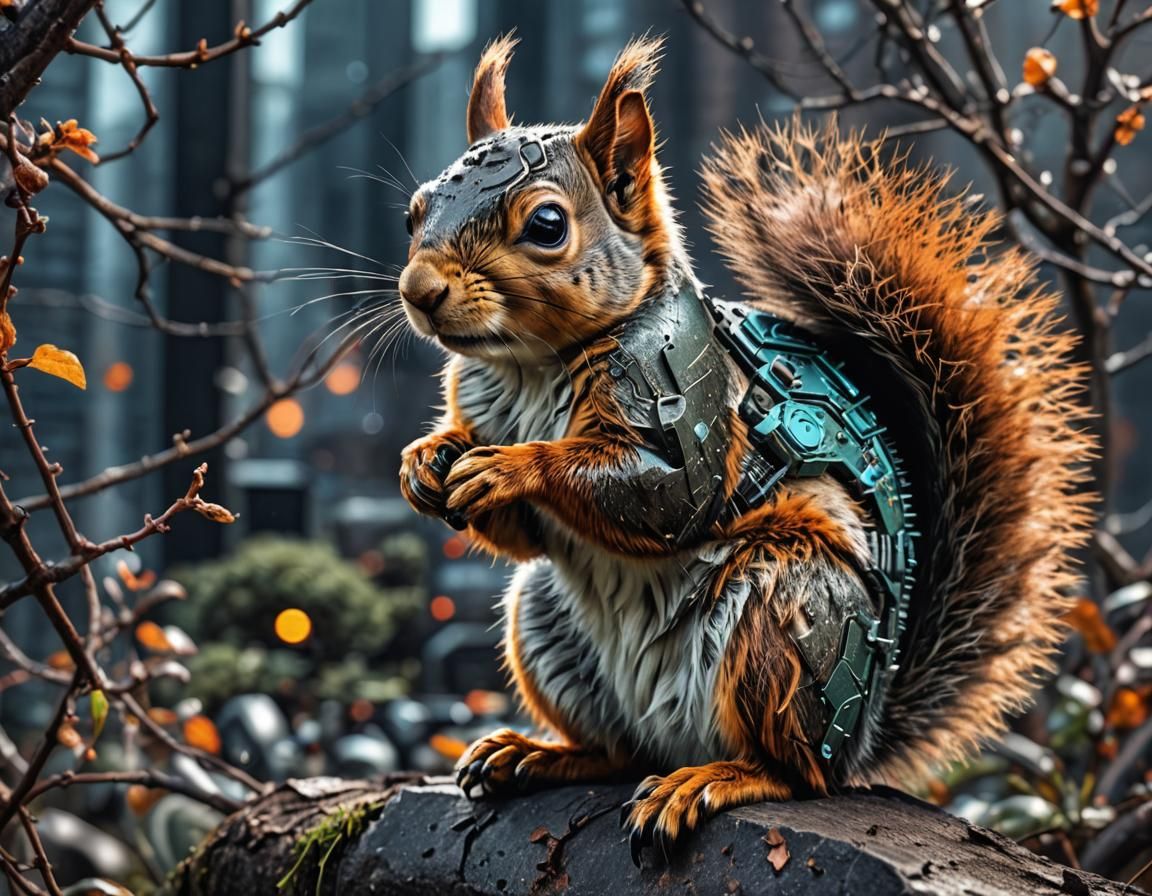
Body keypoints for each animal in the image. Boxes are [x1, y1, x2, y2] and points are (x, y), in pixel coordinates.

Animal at [396, 34, 1094, 861]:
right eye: (413, 213)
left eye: (545, 226)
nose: (418, 291)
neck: (531, 364)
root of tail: (858, 745)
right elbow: (525, 529)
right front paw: (425, 460)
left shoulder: (682, 390)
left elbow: (667, 494)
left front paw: (511, 467)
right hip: (547, 624)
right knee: (619, 751)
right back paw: (536, 754)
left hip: (783, 614)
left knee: (792, 772)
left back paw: (711, 781)